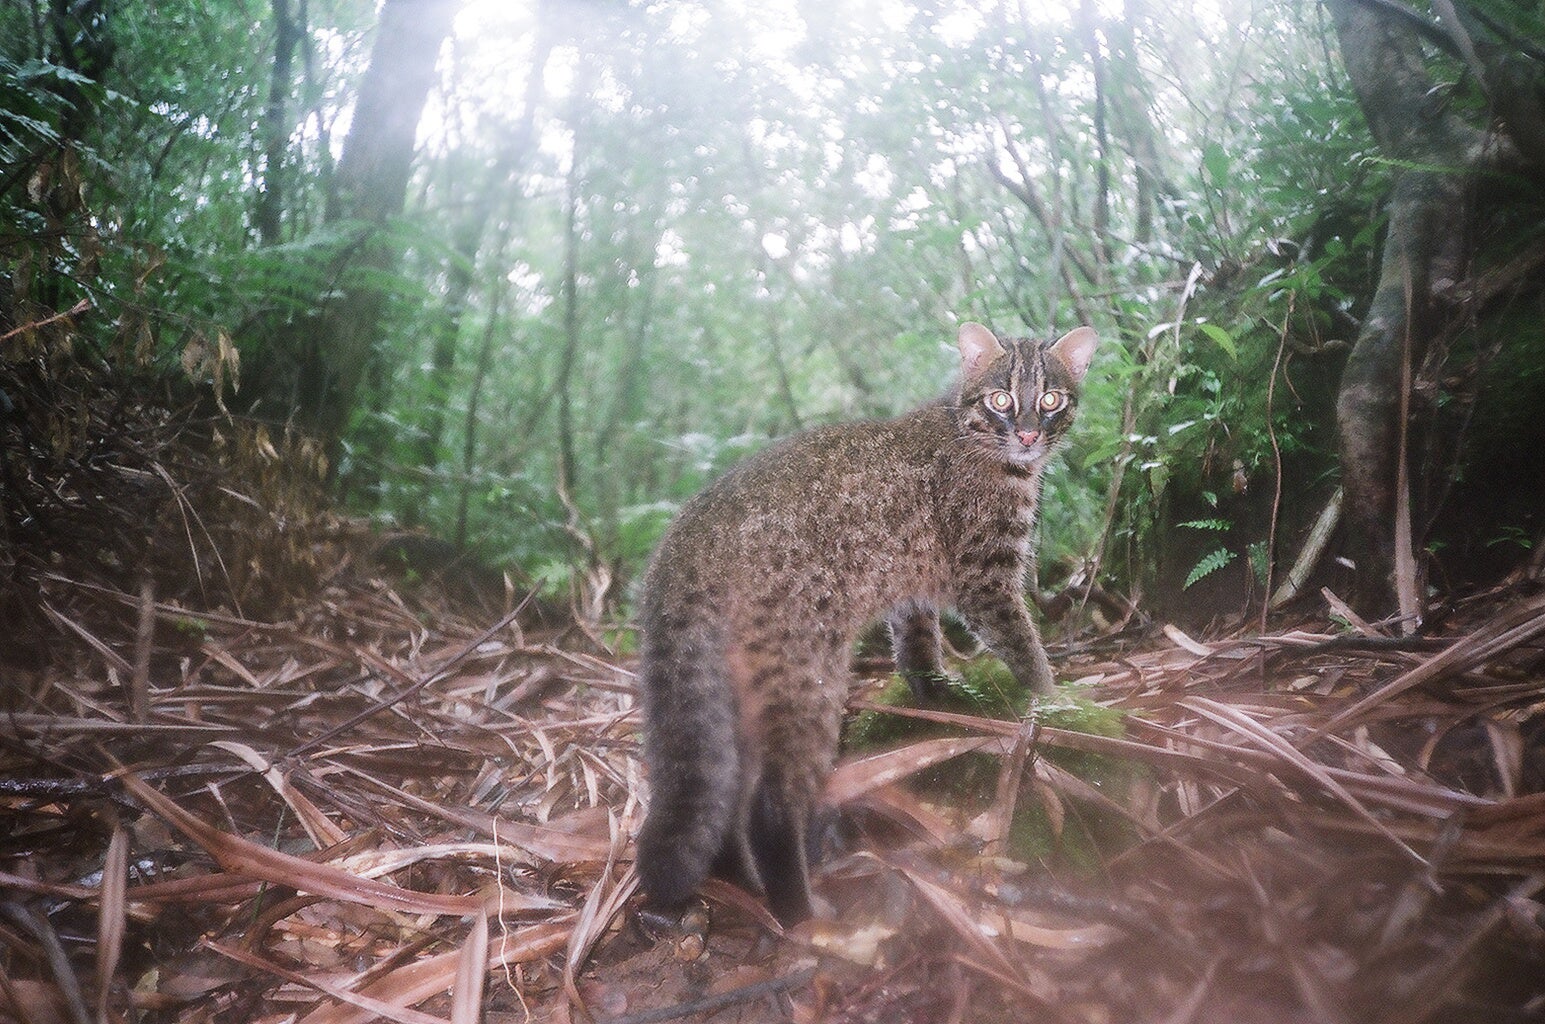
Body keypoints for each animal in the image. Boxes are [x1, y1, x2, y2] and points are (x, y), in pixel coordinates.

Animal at [633, 322, 1093, 926]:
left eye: (1051, 399)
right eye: (1001, 400)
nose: (1029, 433)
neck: (973, 434)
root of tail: (686, 537)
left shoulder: (912, 590)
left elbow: (918, 648)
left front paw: (937, 697)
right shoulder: (985, 580)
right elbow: (1023, 647)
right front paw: (1056, 700)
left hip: (740, 684)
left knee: (731, 793)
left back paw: (750, 886)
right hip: (806, 669)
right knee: (770, 804)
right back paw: (802, 913)